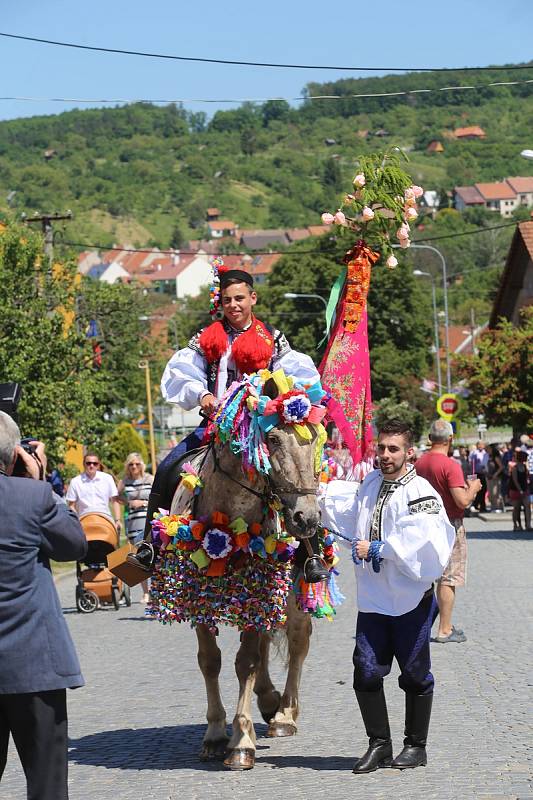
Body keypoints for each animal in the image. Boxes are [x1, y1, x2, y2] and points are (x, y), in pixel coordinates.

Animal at [150, 372, 330, 772]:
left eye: (315, 443)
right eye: (273, 439)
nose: (307, 519)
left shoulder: (262, 590)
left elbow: (245, 662)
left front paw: (241, 741)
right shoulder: (199, 599)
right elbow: (211, 661)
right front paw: (216, 734)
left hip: (293, 592)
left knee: (298, 643)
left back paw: (284, 714)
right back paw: (268, 700)